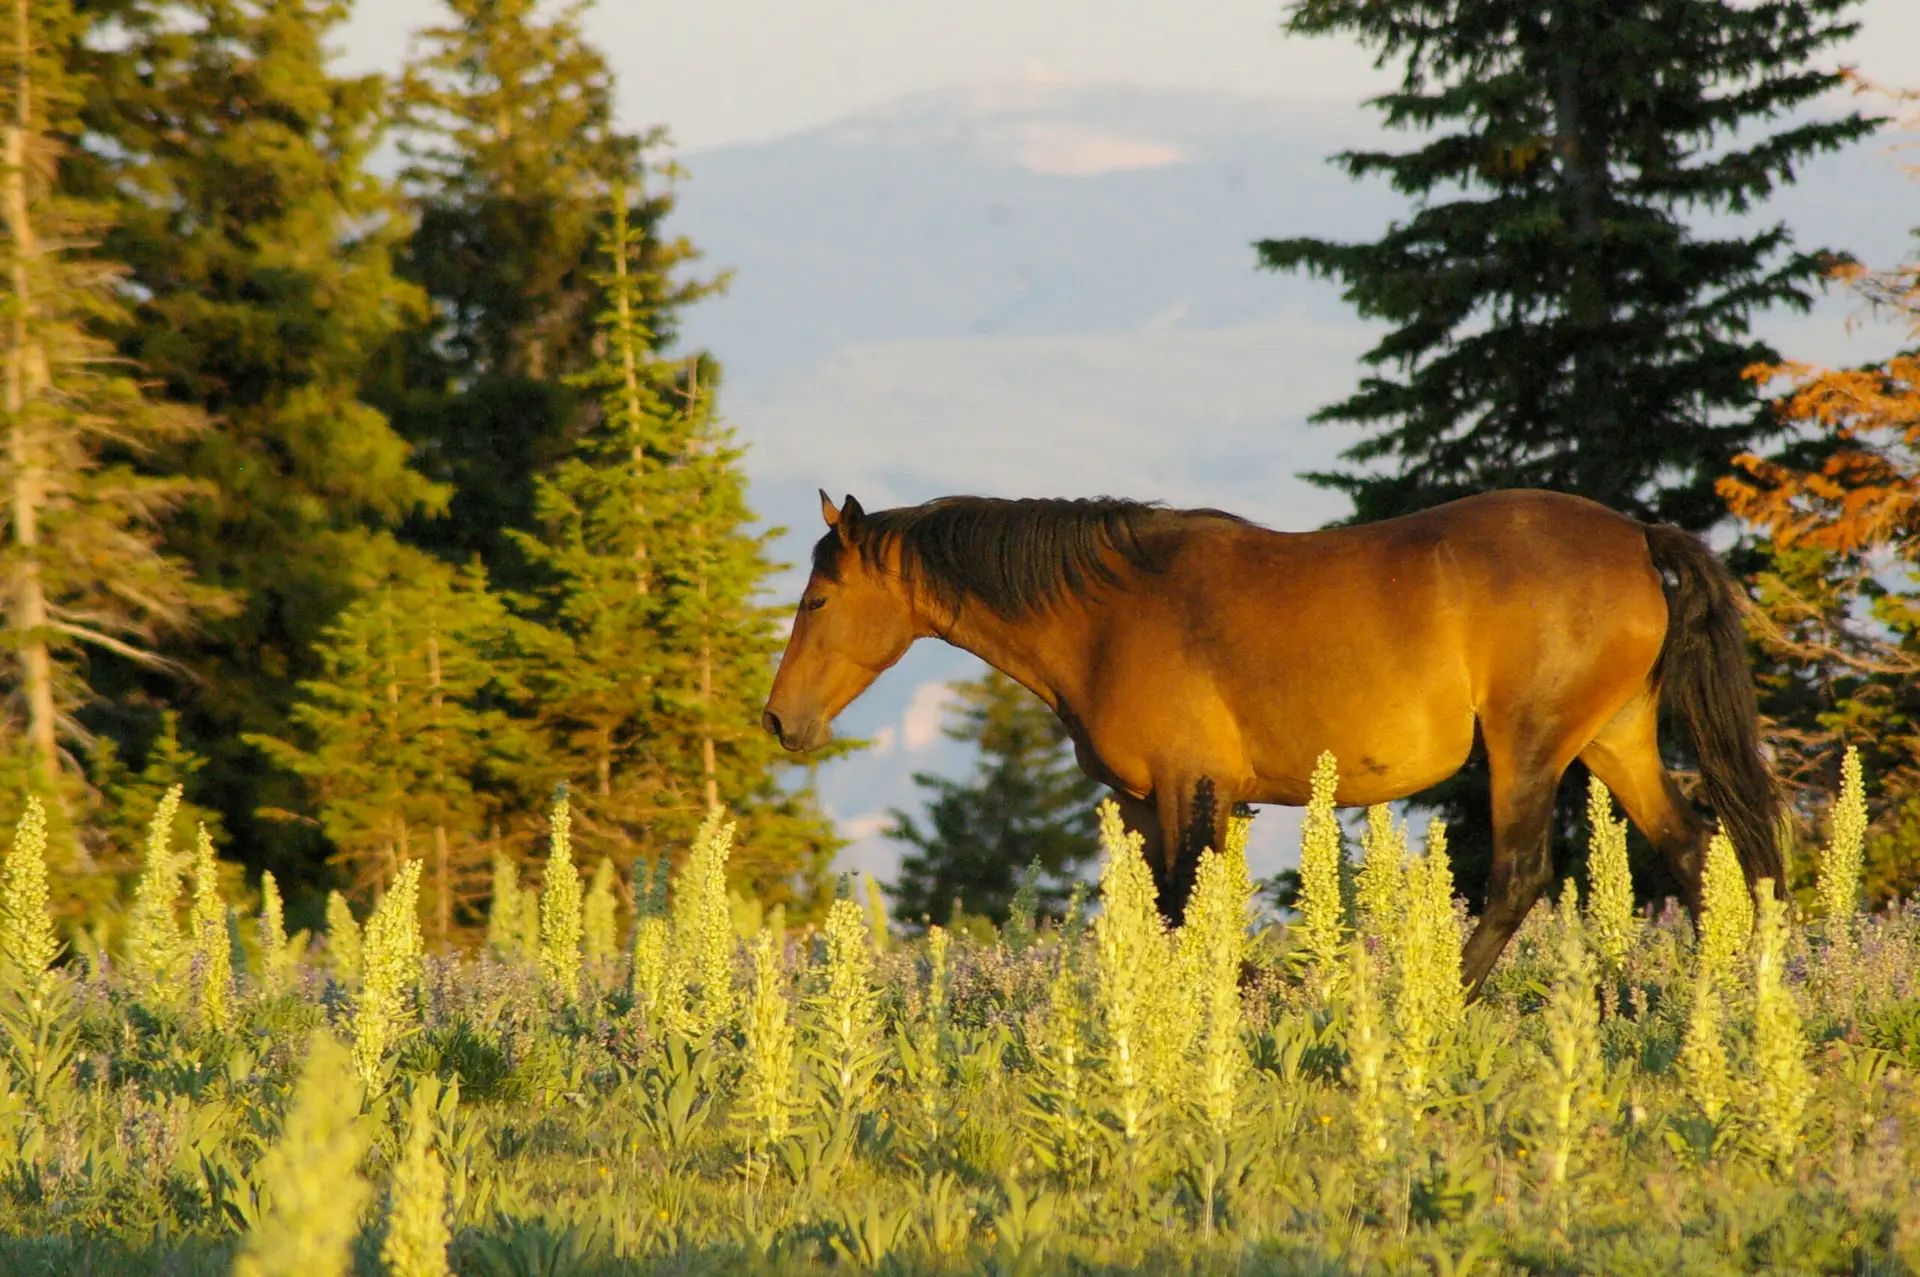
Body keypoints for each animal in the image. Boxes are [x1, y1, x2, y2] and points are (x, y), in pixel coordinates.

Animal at [756, 483, 1774, 990]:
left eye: (817, 600)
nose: (778, 719)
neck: (1109, 610)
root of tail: (1634, 537)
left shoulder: (1187, 785)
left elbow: (1182, 907)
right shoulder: (1149, 800)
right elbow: (1168, 912)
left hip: (1528, 747)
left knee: (1520, 875)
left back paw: (1441, 996)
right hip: (1613, 739)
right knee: (1694, 849)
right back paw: (1725, 988)